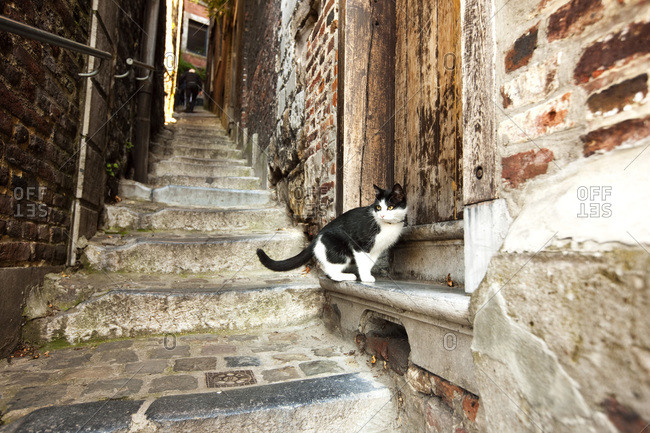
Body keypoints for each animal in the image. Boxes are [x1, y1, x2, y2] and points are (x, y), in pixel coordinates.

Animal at [254, 183, 402, 282]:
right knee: (331, 270)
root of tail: (317, 237)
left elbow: (369, 262)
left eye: (390, 207)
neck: (387, 225)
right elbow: (363, 262)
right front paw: (365, 277)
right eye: (378, 207)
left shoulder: (377, 249)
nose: (382, 215)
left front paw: (367, 274)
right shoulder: (359, 244)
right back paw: (346, 276)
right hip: (340, 250)